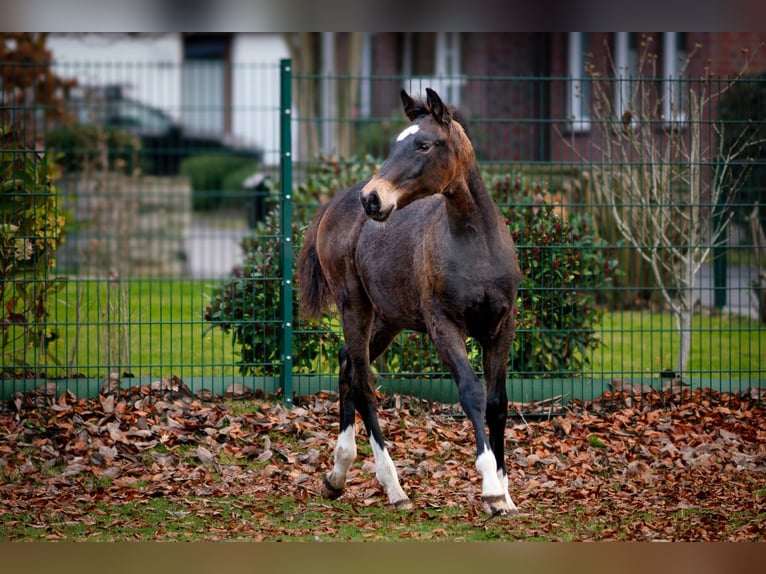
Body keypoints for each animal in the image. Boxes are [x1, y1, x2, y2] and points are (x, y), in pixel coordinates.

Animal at [297, 88, 522, 516]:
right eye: (394, 144)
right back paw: (393, 487)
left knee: (347, 365)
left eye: (423, 144)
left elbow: (498, 402)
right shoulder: (443, 326)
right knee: (363, 382)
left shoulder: (501, 328)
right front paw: (489, 487)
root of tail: (335, 204)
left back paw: (337, 476)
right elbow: (471, 393)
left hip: (387, 319)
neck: (475, 247)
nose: (373, 198)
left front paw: (506, 496)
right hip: (354, 306)